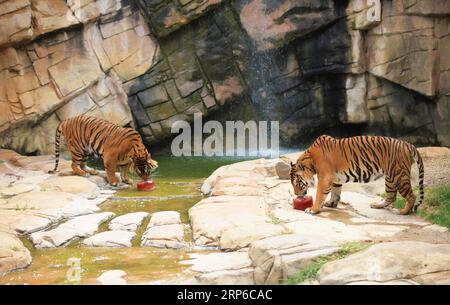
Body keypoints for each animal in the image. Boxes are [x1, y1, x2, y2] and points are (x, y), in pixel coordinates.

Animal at [290, 134, 424, 215]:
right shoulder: (335, 179)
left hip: (399, 175)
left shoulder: (324, 178)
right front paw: (331, 203)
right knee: (391, 195)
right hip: (390, 177)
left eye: (297, 183)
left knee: (411, 196)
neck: (310, 160)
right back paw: (377, 205)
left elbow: (319, 194)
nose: (296, 194)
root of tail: (409, 145)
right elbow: (335, 192)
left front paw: (313, 209)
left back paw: (402, 211)